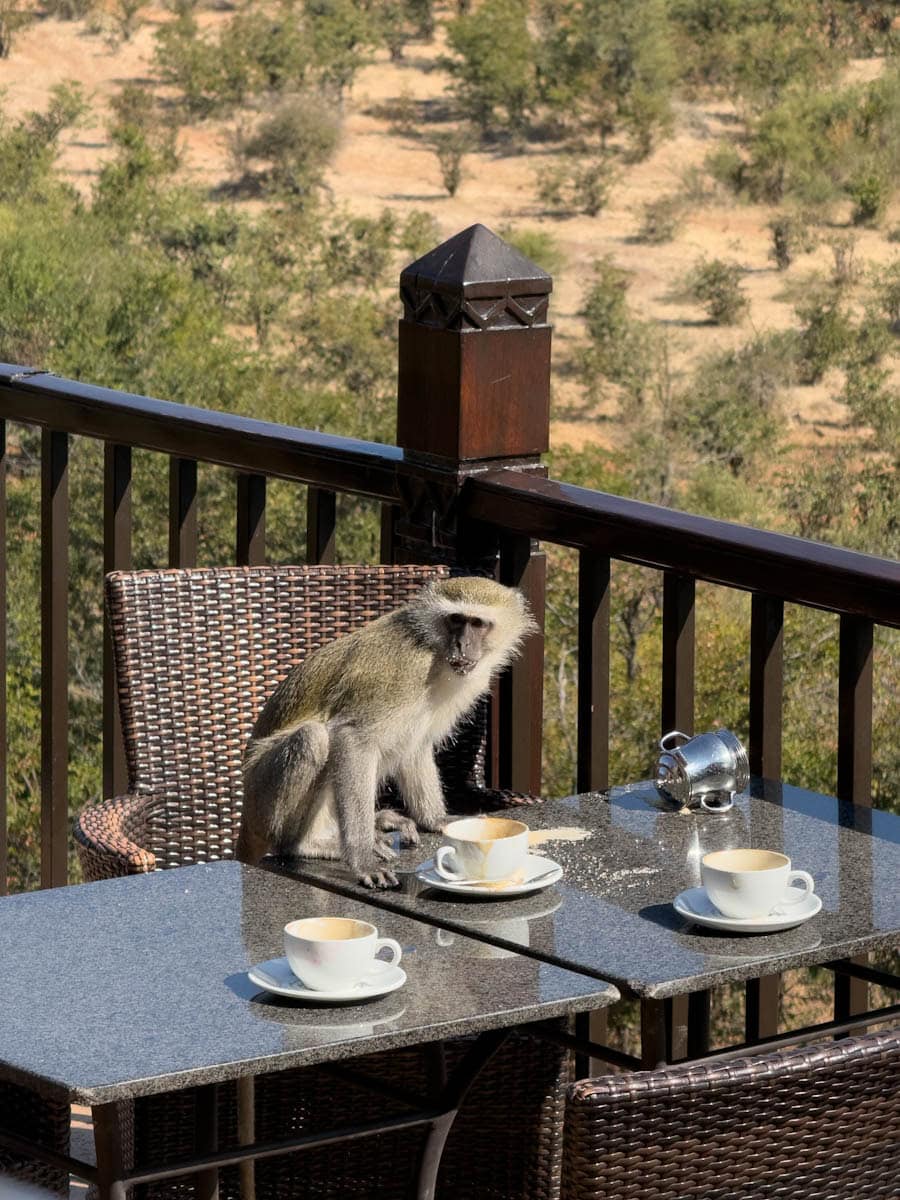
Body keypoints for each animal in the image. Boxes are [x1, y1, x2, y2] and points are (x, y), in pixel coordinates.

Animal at [236, 576, 536, 887]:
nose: (462, 644)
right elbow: (352, 739)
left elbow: (417, 746)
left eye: (477, 623)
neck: (434, 650)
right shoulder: (405, 671)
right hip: (261, 799)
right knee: (313, 738)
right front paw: (362, 859)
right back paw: (303, 845)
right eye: (456, 619)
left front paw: (436, 821)